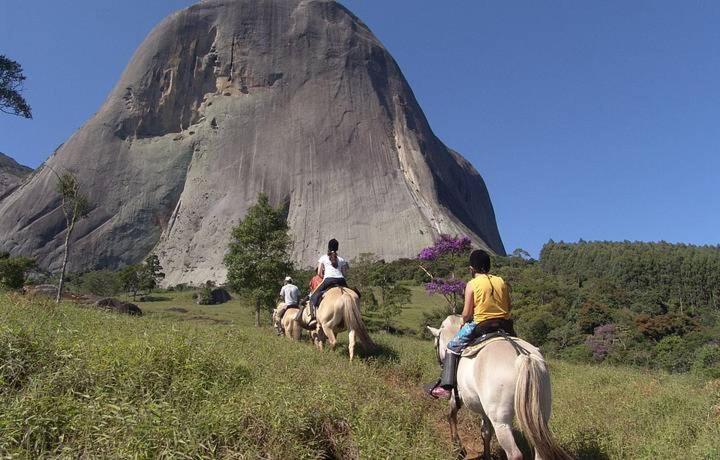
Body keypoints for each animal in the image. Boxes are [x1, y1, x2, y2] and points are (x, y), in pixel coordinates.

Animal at [428, 314, 568, 460]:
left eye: (435, 345)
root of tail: (524, 357)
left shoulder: (456, 395)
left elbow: (451, 416)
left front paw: (459, 450)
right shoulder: (484, 409)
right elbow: (486, 432)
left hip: (501, 421)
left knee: (514, 453)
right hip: (540, 413)